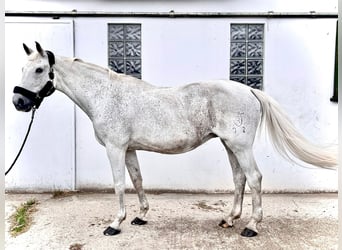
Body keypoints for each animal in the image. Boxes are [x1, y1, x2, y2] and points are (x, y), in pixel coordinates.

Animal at [12, 42, 336, 237]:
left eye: (39, 69)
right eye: (22, 68)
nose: (18, 101)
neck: (105, 95)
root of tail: (249, 90)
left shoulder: (115, 149)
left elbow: (119, 184)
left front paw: (115, 223)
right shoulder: (128, 149)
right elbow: (137, 180)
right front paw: (141, 216)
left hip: (241, 146)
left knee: (254, 178)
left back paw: (252, 226)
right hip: (230, 145)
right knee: (239, 178)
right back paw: (230, 219)